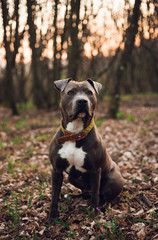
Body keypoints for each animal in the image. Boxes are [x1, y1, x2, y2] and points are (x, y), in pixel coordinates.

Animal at [49, 78, 124, 219]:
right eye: (70, 92)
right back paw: (74, 196)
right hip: (71, 178)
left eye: (89, 92)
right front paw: (53, 215)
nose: (82, 101)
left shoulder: (95, 170)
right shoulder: (57, 170)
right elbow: (54, 194)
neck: (74, 134)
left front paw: (93, 211)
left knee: (101, 195)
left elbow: (95, 193)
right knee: (85, 192)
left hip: (113, 180)